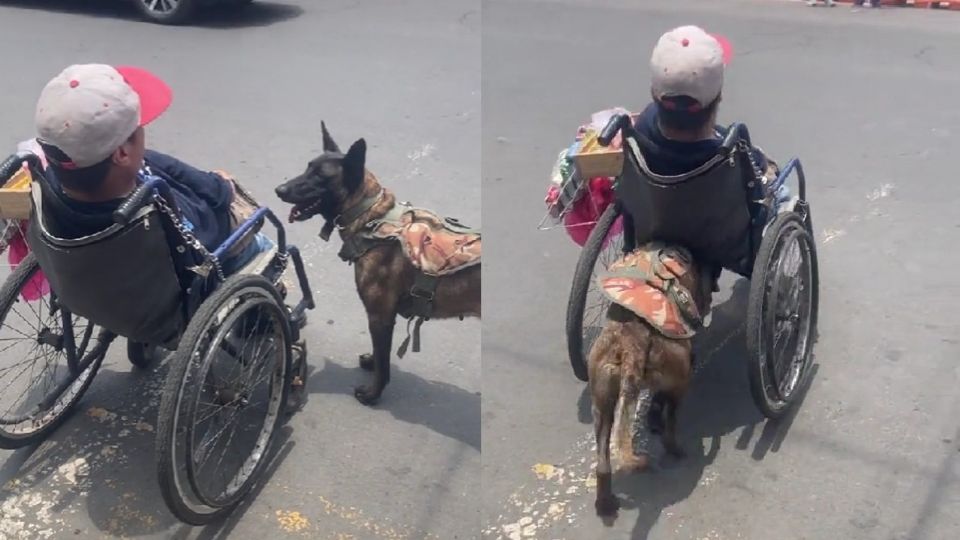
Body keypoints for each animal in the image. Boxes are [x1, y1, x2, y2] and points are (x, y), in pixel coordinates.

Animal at [274, 123, 480, 404]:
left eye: (319, 176)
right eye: (307, 167)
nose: (279, 190)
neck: (370, 215)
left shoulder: (379, 315)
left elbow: (384, 362)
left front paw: (373, 393)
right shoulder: (383, 317)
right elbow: (380, 353)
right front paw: (372, 362)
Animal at [584, 243, 712, 516]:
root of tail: (632, 341)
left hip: (601, 401)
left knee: (603, 462)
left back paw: (605, 503)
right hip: (678, 379)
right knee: (669, 423)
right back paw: (676, 449)